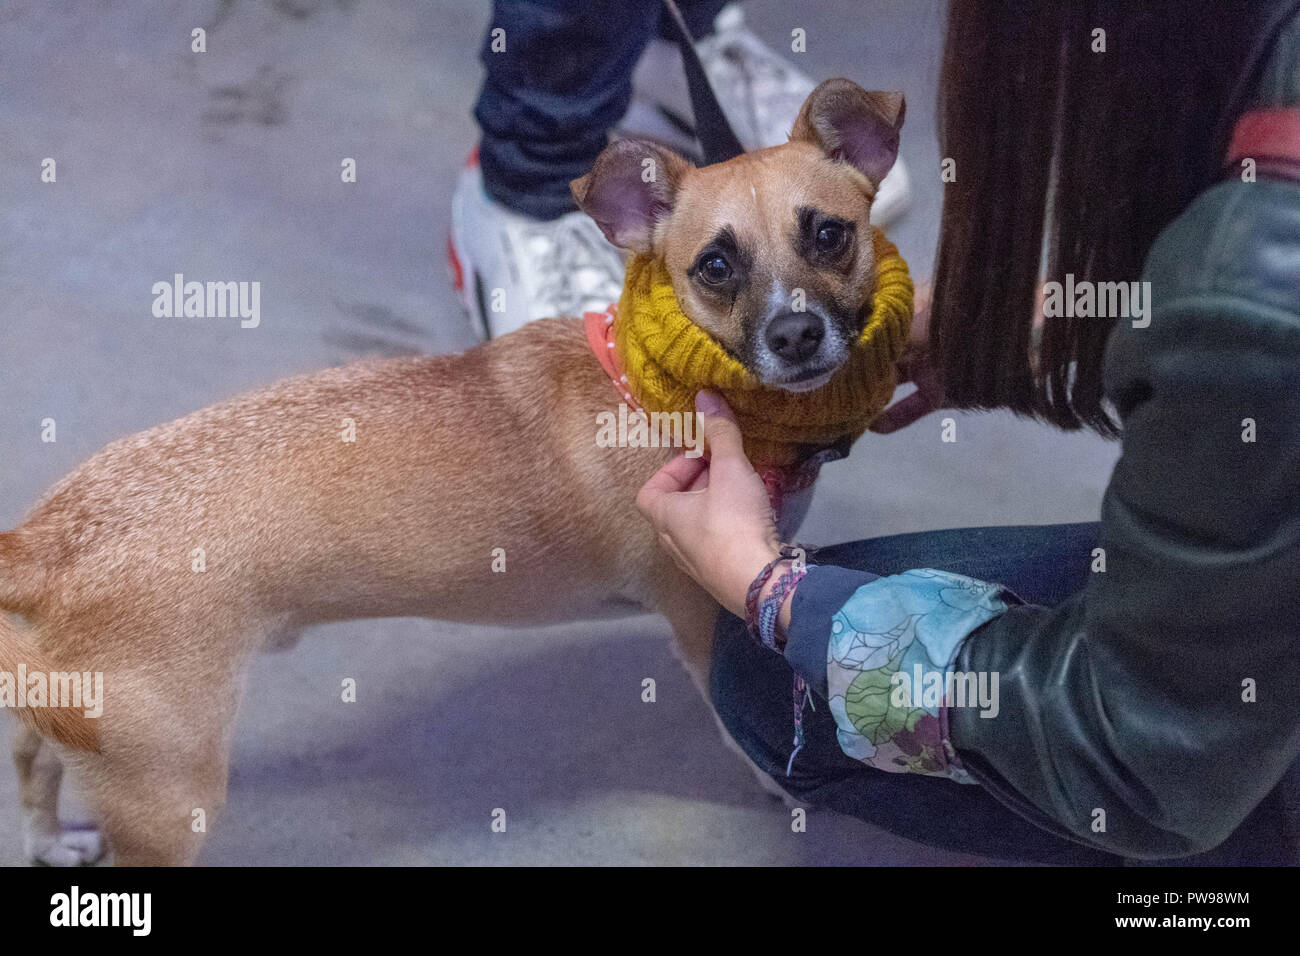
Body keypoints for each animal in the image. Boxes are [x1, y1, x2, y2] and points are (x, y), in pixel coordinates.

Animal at [0, 78, 904, 863]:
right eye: (714, 267)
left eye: (830, 234)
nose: (795, 334)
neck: (659, 382)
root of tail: (46, 540)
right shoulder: (701, 612)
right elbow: (735, 718)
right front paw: (778, 781)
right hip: (169, 796)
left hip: (69, 725)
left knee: (31, 768)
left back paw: (49, 841)